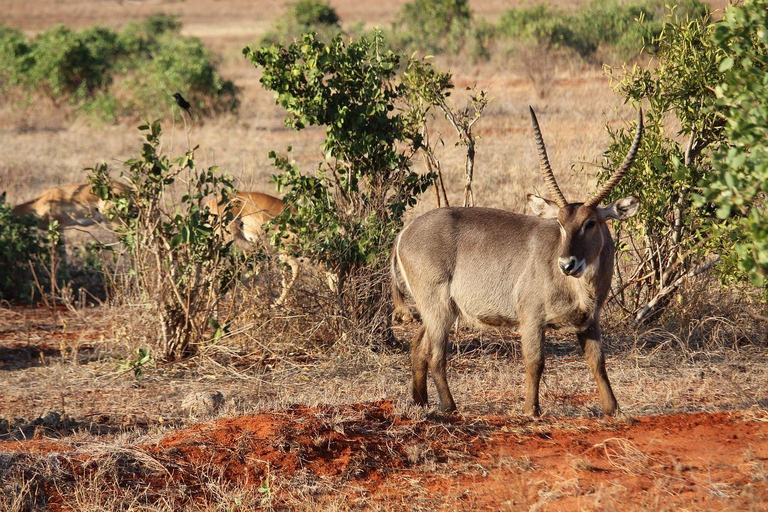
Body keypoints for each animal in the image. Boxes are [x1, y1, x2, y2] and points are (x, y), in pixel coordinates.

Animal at [390, 108, 640, 416]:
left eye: (591, 223)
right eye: (560, 223)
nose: (567, 264)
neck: (581, 287)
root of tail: (404, 232)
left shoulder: (590, 321)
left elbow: (598, 362)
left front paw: (612, 409)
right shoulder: (531, 318)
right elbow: (535, 362)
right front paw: (531, 410)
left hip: (437, 309)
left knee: (418, 345)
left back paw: (421, 402)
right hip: (439, 308)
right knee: (436, 354)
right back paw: (450, 408)